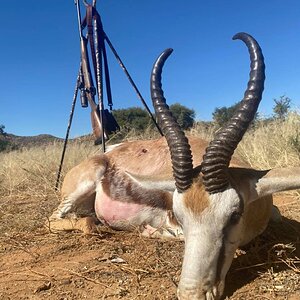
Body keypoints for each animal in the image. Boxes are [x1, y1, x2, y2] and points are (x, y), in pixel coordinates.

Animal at [48, 31, 298, 298]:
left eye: (234, 215)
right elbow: (171, 232)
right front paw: (152, 232)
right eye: (179, 215)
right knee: (56, 220)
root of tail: (104, 156)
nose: (192, 293)